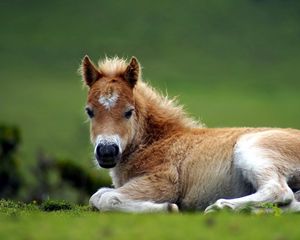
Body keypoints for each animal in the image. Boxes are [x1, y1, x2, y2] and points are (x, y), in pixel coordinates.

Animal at [79, 55, 300, 213]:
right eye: (89, 111)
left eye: (128, 111)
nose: (107, 152)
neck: (157, 141)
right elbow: (97, 195)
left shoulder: (163, 181)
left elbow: (105, 198)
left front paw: (168, 208)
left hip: (252, 149)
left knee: (279, 191)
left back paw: (220, 207)